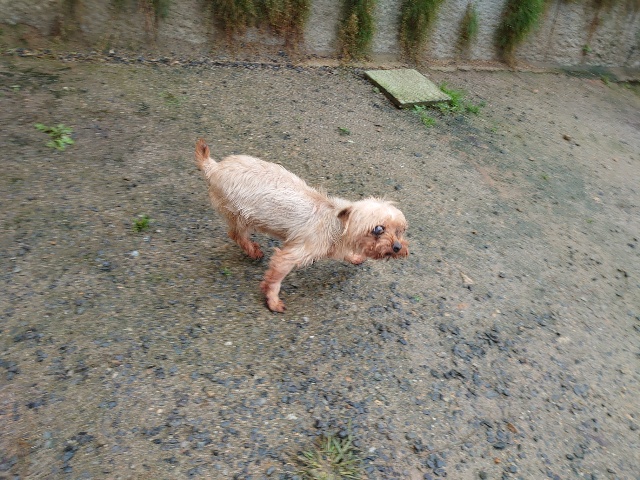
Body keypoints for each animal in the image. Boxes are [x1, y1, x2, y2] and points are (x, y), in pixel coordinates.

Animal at [195, 138, 409, 312]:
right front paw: (272, 301)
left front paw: (355, 257)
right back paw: (253, 250)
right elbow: (275, 279)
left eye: (400, 230)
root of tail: (214, 167)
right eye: (378, 229)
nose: (398, 247)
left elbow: (346, 254)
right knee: (237, 234)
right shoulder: (290, 255)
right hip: (239, 214)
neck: (337, 226)